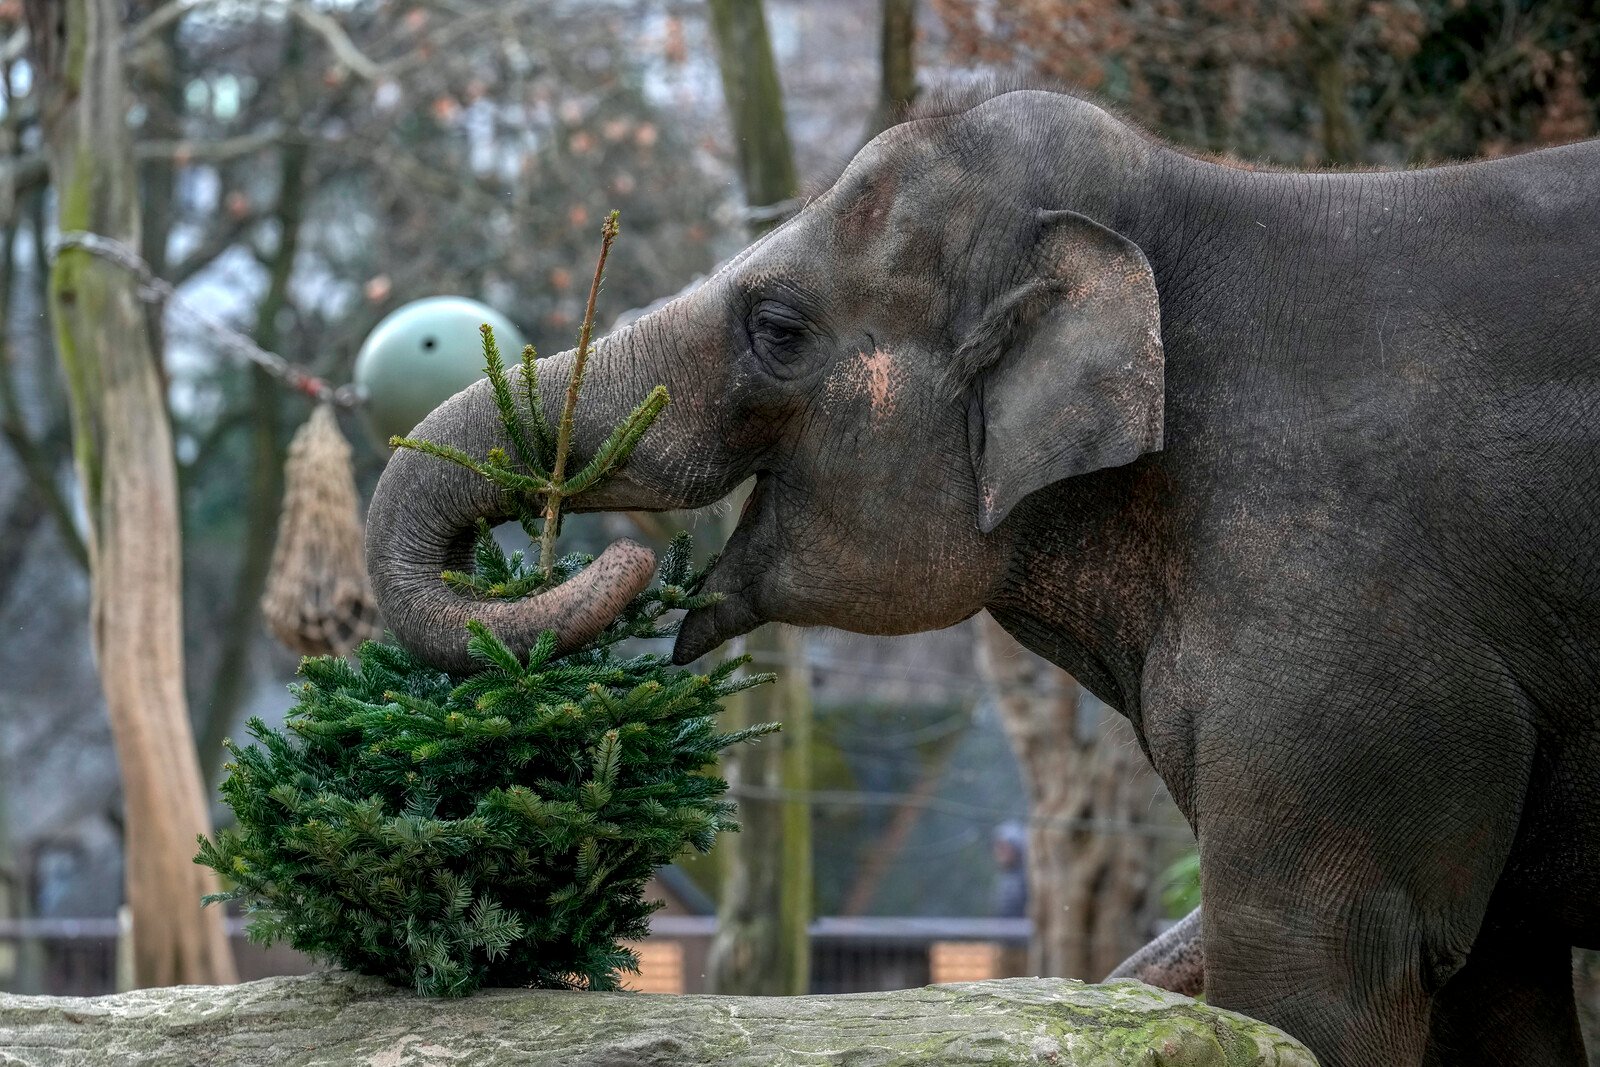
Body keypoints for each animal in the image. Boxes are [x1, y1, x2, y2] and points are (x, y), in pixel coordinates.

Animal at [368, 87, 1600, 1062]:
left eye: (778, 327)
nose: (624, 558)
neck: (1198, 199)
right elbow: (1495, 981)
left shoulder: (1352, 625)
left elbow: (1314, 971)